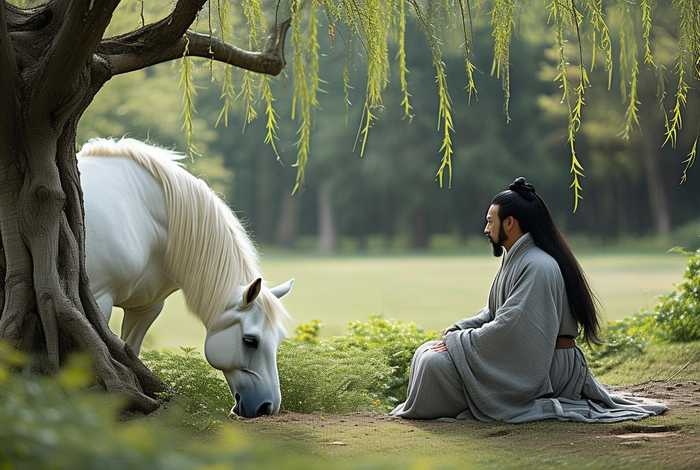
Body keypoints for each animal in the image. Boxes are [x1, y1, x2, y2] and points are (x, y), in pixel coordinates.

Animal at [77, 138, 293, 418]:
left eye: (278, 339)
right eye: (250, 341)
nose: (267, 407)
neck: (144, 214)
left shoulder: (146, 308)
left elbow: (129, 351)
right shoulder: (98, 299)